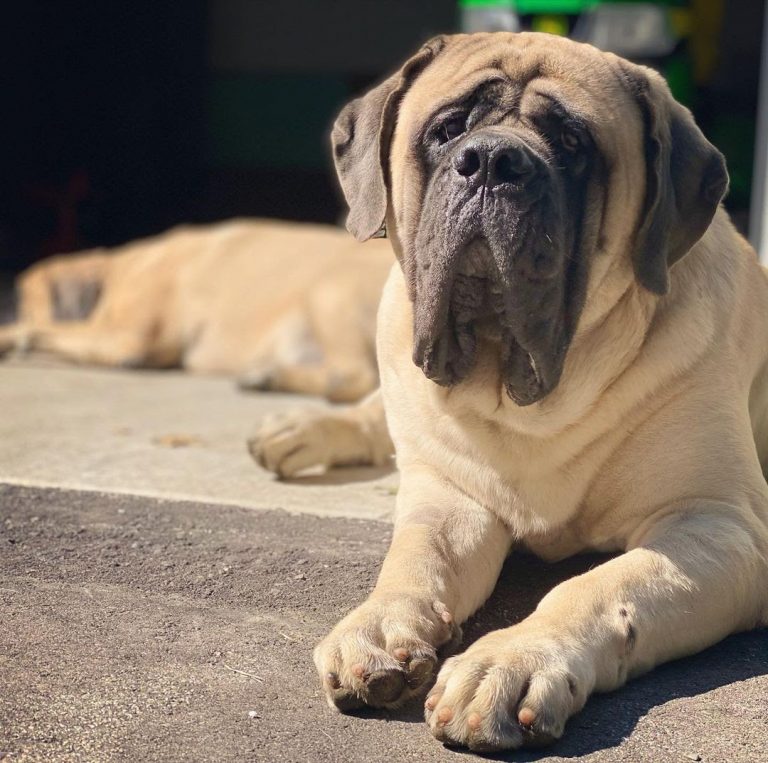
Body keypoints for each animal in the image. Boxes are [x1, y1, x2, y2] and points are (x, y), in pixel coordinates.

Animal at [0, 218, 392, 402]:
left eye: (26, 305)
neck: (118, 270)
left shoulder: (130, 338)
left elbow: (34, 330)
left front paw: (12, 339)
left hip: (328, 291)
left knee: (358, 377)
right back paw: (268, 377)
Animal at [255, 31, 768, 752]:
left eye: (574, 143)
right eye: (446, 131)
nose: (493, 160)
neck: (527, 394)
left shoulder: (717, 523)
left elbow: (596, 586)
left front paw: (510, 661)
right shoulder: (452, 498)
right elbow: (414, 559)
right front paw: (378, 625)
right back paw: (295, 430)